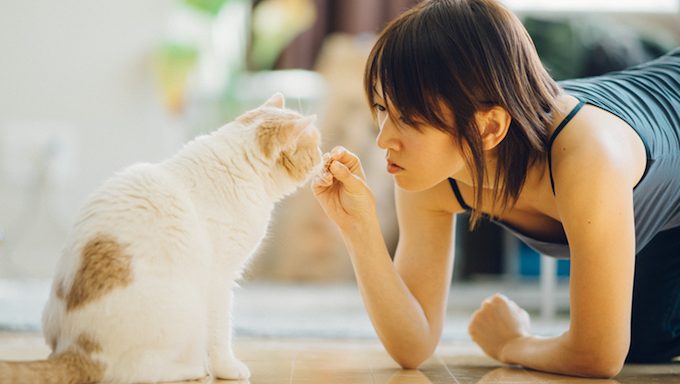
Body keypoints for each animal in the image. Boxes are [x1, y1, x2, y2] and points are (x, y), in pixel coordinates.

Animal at [0, 94, 322, 384]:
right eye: (315, 149)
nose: (323, 158)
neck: (238, 165)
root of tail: (76, 348)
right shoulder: (220, 281)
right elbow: (221, 333)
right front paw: (227, 369)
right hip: (187, 311)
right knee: (136, 372)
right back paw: (191, 369)